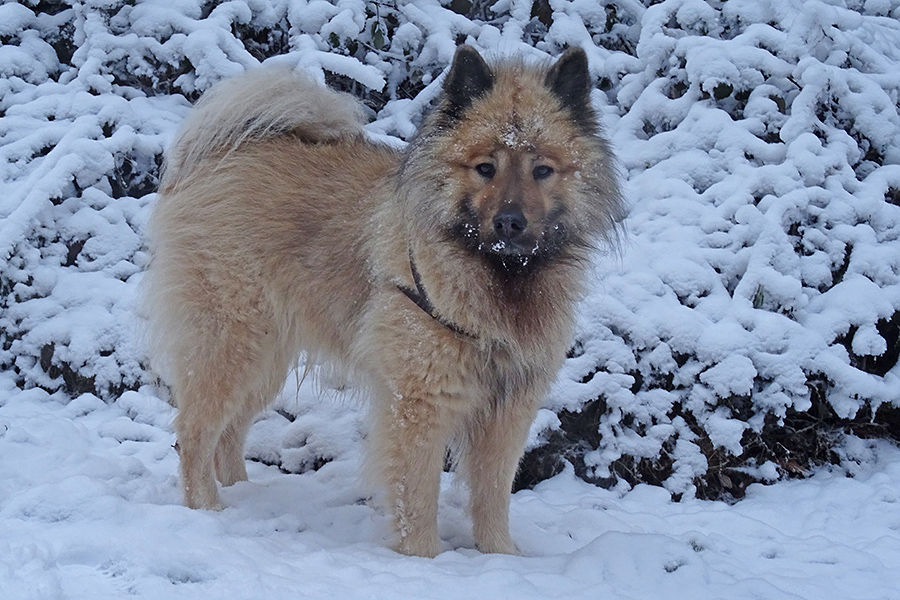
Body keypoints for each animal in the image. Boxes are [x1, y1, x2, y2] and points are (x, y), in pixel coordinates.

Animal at [144, 47, 624, 556]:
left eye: (542, 170)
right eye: (485, 168)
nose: (510, 223)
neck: (498, 277)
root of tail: (217, 157)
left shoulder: (508, 410)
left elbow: (492, 495)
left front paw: (500, 556)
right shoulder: (420, 403)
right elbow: (416, 498)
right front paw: (422, 559)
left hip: (265, 358)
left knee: (229, 432)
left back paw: (242, 494)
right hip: (232, 343)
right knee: (195, 432)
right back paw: (207, 509)